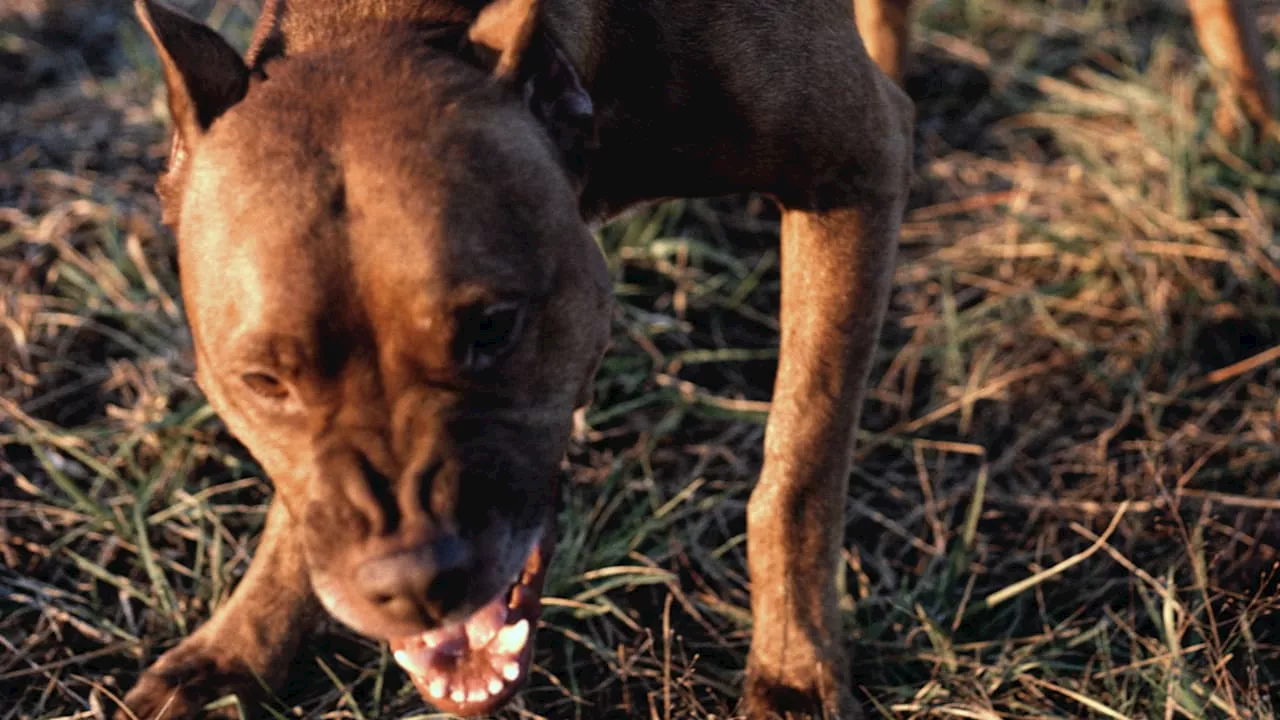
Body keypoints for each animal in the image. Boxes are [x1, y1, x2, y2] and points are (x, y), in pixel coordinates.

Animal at [117, 1, 1269, 717]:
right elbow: (293, 508)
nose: (412, 582)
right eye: (262, 381)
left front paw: (793, 672)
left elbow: (796, 465)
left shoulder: (847, 175)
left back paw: (1245, 119)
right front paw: (243, 642)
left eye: (493, 327)